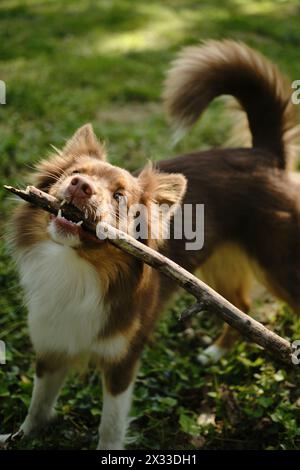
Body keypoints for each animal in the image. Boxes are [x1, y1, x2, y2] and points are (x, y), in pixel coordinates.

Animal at [1, 40, 300, 448]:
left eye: (119, 197)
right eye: (74, 174)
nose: (80, 186)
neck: (77, 267)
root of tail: (265, 154)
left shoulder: (122, 360)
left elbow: (110, 426)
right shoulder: (51, 344)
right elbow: (38, 405)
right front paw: (21, 436)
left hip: (280, 267)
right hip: (218, 268)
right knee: (242, 305)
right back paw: (214, 353)